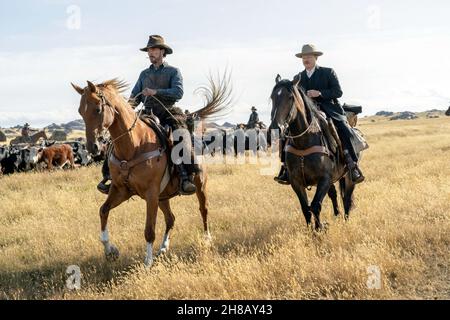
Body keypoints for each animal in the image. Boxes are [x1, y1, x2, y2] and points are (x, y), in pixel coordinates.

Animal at [72, 76, 232, 266]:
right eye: (81, 112)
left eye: (97, 109)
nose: (93, 147)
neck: (134, 145)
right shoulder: (121, 190)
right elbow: (103, 211)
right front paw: (111, 251)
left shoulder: (151, 193)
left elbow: (149, 230)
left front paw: (147, 262)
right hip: (163, 197)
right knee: (171, 218)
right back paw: (163, 248)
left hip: (200, 185)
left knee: (204, 209)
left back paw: (207, 239)